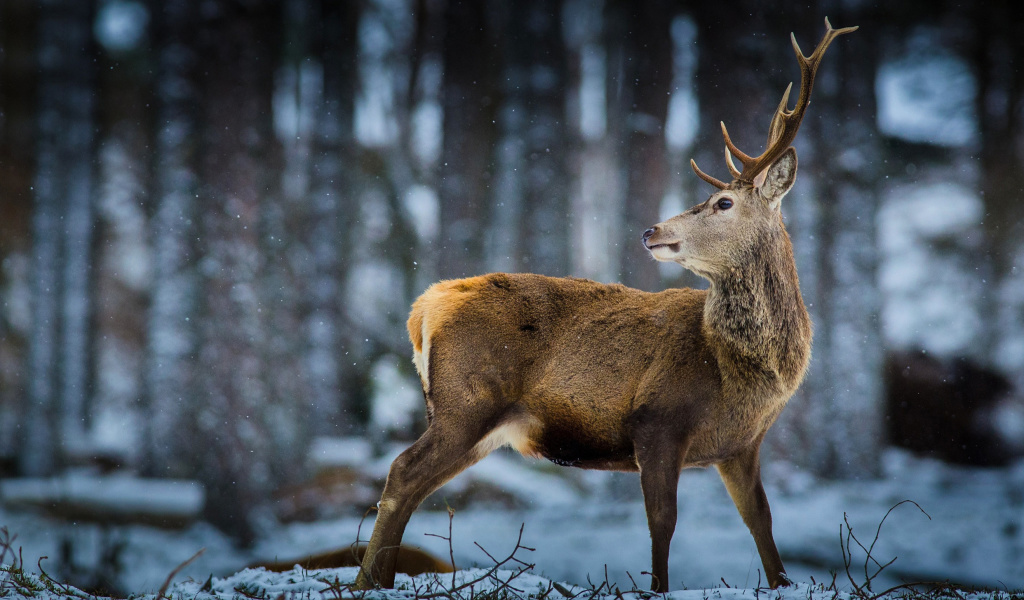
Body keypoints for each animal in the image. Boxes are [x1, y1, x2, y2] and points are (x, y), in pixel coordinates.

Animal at [354, 17, 856, 589]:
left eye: (723, 202)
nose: (650, 230)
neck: (741, 371)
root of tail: (425, 306)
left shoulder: (742, 445)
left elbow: (762, 524)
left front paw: (781, 581)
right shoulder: (657, 419)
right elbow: (663, 522)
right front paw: (657, 589)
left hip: (477, 420)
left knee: (414, 483)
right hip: (468, 400)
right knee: (402, 472)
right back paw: (369, 581)